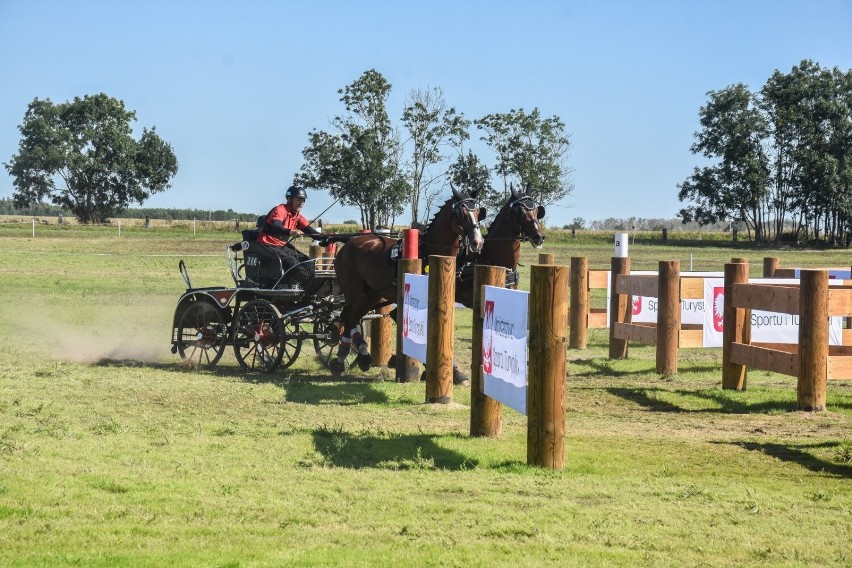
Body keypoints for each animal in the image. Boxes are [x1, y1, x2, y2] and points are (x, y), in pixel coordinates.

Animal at [326, 184, 486, 374]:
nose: (477, 242)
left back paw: (356, 357)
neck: (427, 252)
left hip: (371, 293)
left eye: (478, 211)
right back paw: (345, 359)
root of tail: (348, 243)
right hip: (354, 291)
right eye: (461, 212)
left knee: (352, 317)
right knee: (347, 316)